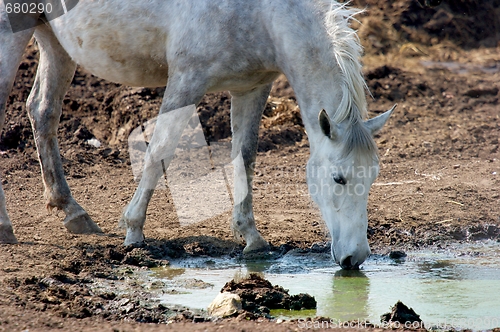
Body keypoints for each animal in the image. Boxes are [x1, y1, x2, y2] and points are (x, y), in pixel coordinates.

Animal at [0, 0, 394, 268]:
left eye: (373, 177)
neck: (262, 14)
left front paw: (250, 235)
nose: (356, 257)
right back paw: (7, 228)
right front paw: (134, 230)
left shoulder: (253, 87)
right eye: (338, 178)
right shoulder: (187, 81)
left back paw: (72, 212)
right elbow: (159, 151)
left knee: (42, 111)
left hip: (54, 40)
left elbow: (245, 156)